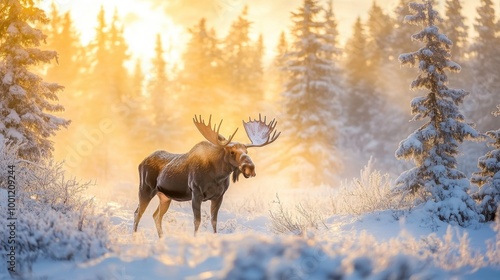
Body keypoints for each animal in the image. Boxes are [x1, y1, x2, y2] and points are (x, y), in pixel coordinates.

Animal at [133, 115, 280, 237]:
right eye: (232, 152)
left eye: (246, 151)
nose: (250, 168)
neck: (217, 177)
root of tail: (140, 162)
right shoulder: (195, 193)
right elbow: (197, 221)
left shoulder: (219, 196)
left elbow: (214, 221)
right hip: (145, 188)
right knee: (138, 212)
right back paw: (134, 237)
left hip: (164, 196)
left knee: (156, 215)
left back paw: (161, 239)